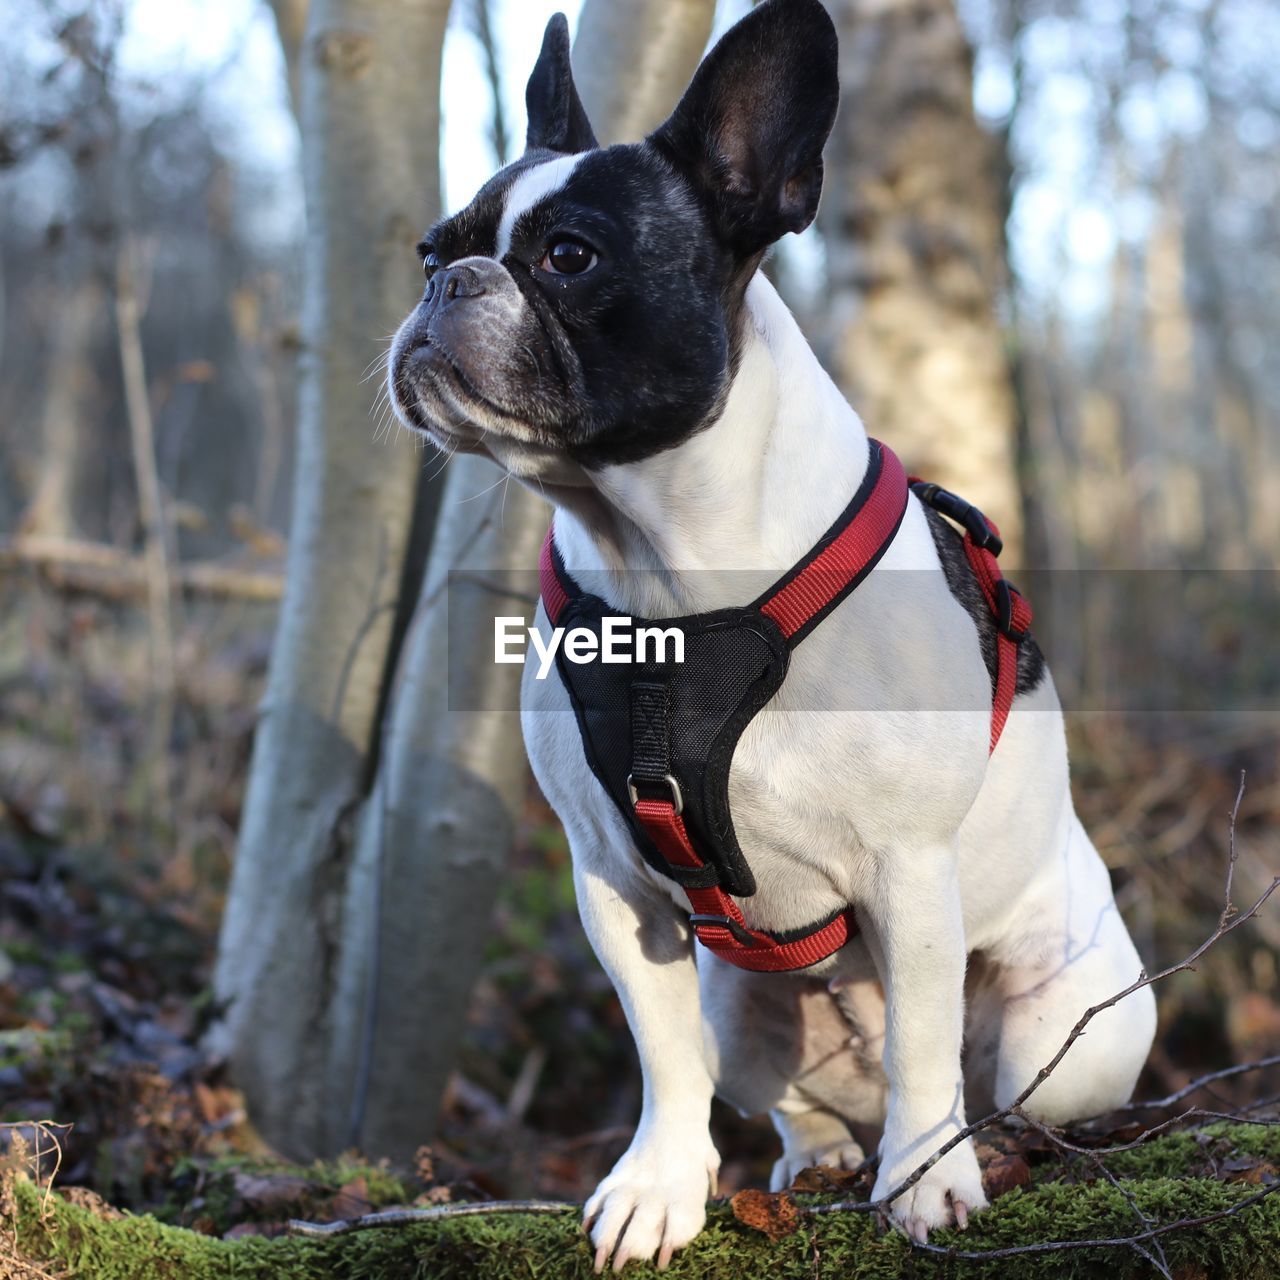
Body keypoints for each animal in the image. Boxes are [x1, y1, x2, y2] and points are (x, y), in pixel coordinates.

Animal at [384, 0, 1157, 1269]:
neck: (664, 565)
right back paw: (820, 1157)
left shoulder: (908, 866)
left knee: (996, 1088)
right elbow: (661, 1058)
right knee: (790, 1095)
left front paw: (926, 1180)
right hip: (744, 1006)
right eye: (427, 247)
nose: (451, 281)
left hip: (1065, 1033)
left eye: (569, 256)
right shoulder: (615, 885)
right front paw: (659, 1185)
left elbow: (920, 1046)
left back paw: (971, 1145)